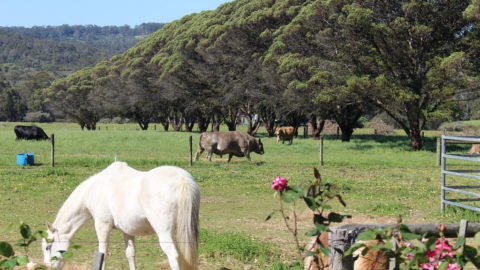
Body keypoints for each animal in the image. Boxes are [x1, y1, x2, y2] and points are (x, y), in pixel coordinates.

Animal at [40, 161, 200, 268]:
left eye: (48, 247)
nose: (47, 265)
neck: (96, 188)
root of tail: (182, 179)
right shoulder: (127, 230)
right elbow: (130, 254)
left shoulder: (102, 226)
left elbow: (103, 254)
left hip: (165, 233)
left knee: (173, 256)